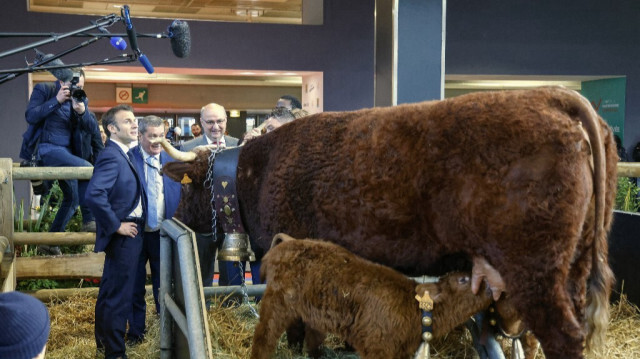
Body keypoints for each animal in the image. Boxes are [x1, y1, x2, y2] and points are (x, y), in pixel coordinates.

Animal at [161, 88, 620, 359]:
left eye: (188, 188)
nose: (175, 219)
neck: (257, 172)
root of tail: (550, 95)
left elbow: (300, 325)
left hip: (539, 274)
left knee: (563, 338)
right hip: (574, 266)